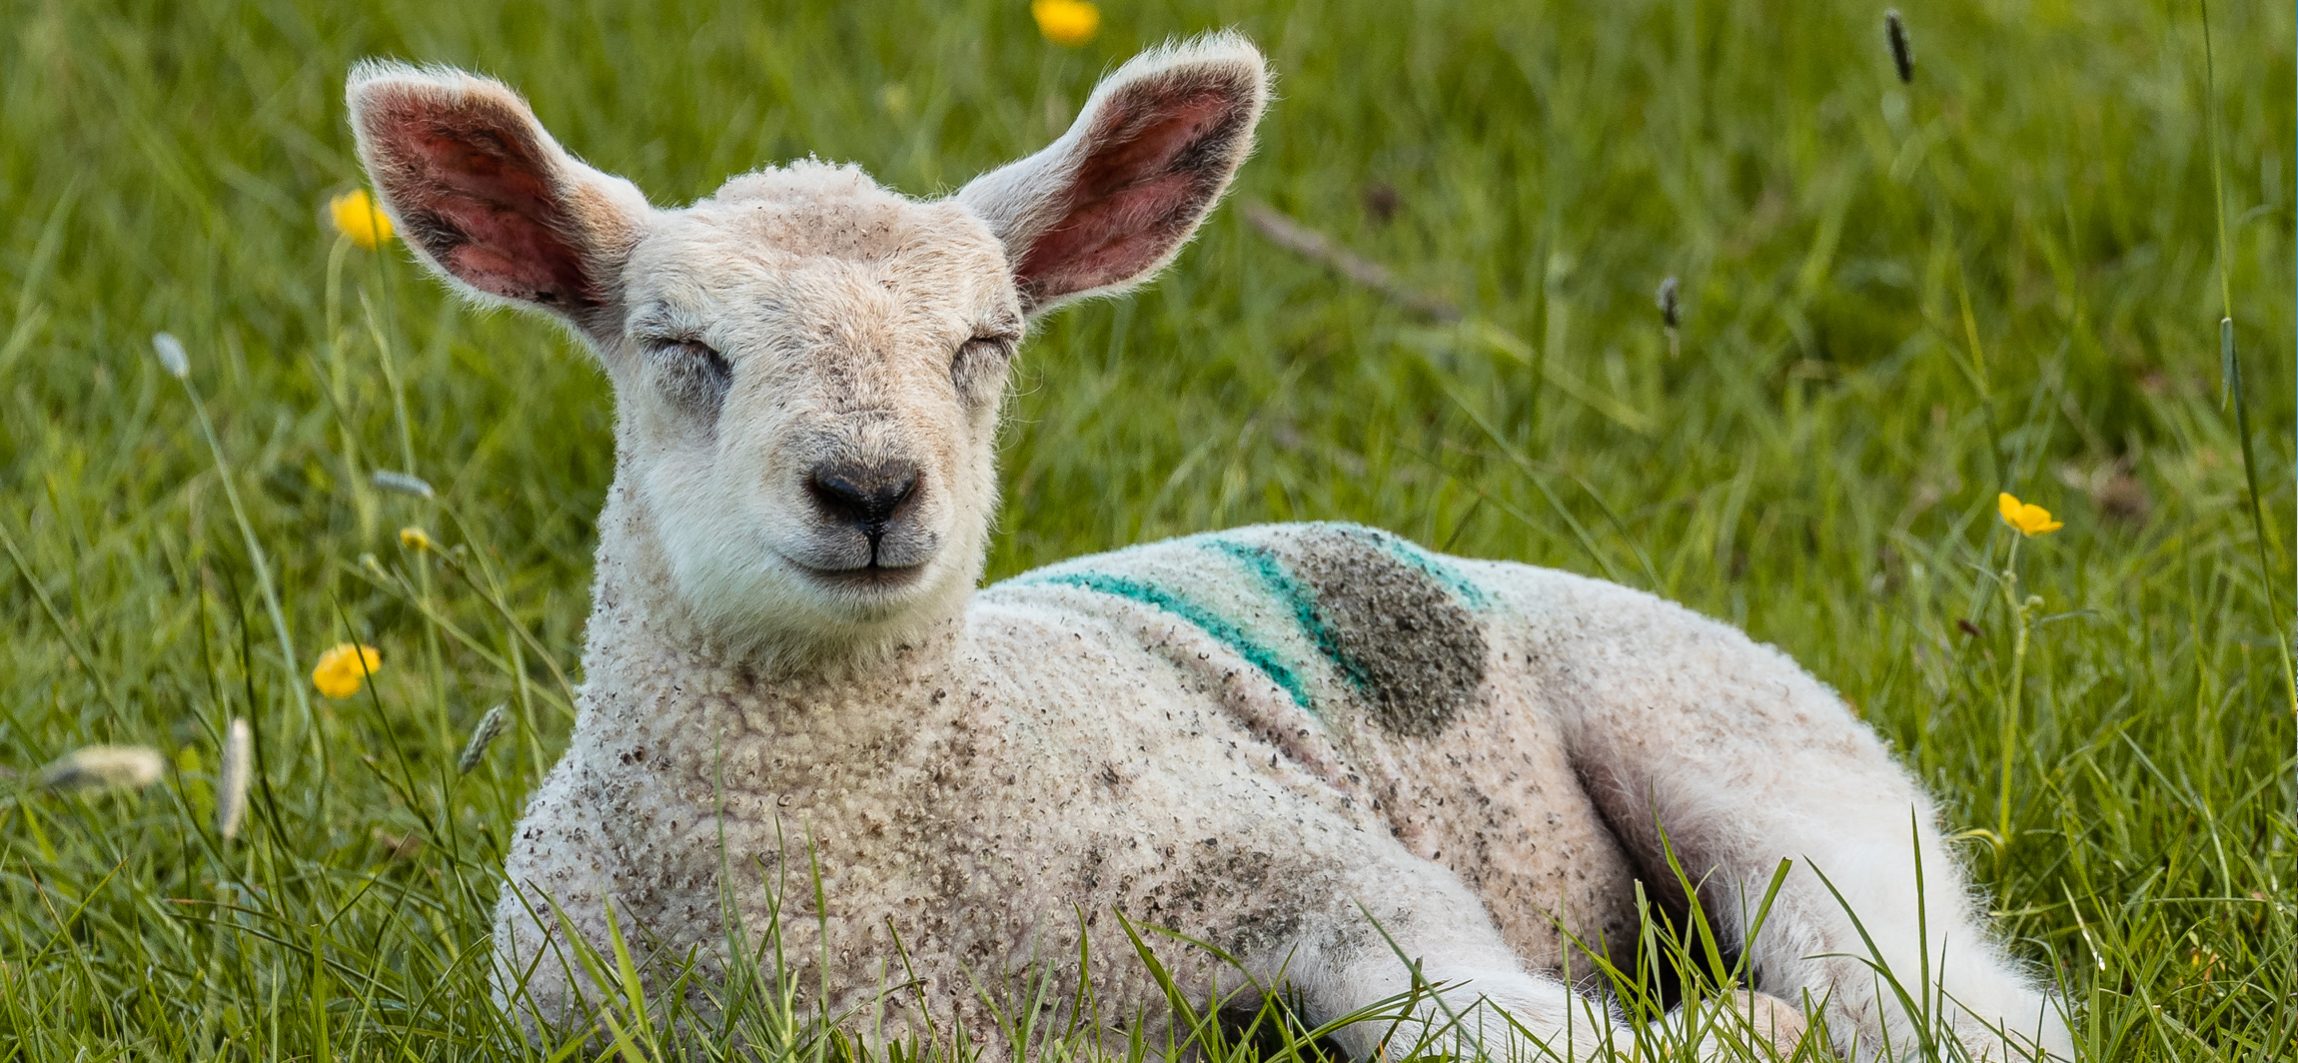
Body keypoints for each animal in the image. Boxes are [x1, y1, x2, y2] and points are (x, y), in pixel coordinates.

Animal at [346, 33, 2074, 1062]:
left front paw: (1727, 1036)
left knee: (1950, 987)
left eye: (986, 344)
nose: (868, 486)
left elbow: (1464, 1012)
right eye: (678, 347)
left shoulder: (1313, 862)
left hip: (1755, 750)